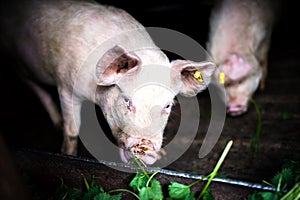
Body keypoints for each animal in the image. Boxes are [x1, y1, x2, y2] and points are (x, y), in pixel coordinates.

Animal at [0, 0, 216, 165]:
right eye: (127, 100)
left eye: (168, 105)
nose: (145, 146)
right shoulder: (66, 87)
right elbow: (72, 130)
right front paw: (68, 154)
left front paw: (162, 155)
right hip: (17, 63)